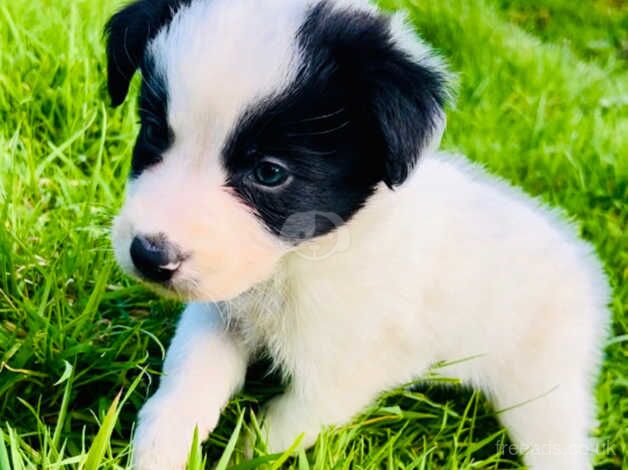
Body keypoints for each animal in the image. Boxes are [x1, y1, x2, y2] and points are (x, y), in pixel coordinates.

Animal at [104, 0, 608, 470]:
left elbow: (287, 424)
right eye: (154, 132)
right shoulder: (222, 311)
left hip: (544, 386)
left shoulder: (350, 370)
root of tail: (577, 255)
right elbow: (191, 373)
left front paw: (247, 453)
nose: (149, 255)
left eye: (269, 172)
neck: (299, 260)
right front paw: (160, 445)